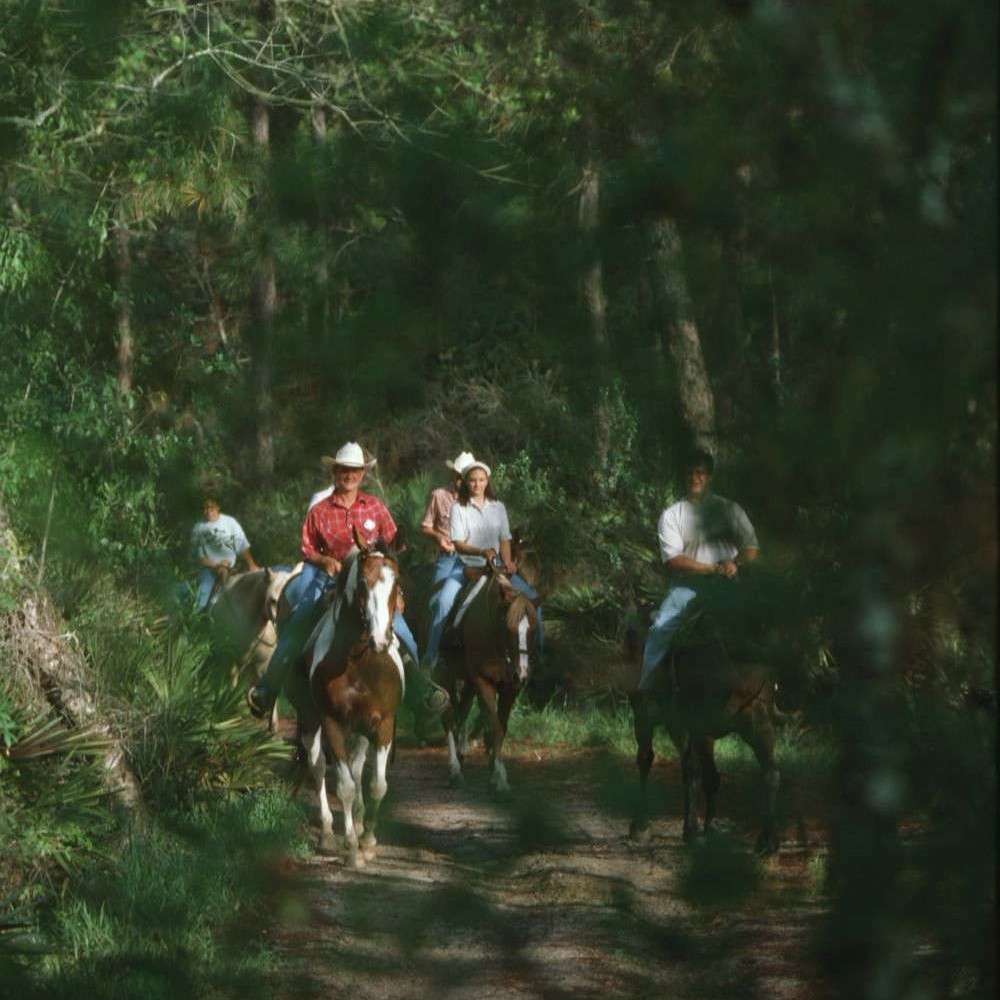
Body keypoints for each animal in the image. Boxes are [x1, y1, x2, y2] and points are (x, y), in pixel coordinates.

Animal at [288, 532, 404, 868]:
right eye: (363, 582)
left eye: (396, 581)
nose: (381, 639)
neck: (360, 664)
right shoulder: (333, 724)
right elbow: (345, 787)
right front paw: (352, 848)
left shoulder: (382, 724)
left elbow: (376, 785)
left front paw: (368, 840)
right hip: (311, 720)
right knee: (317, 767)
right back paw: (328, 834)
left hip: (362, 730)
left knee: (356, 765)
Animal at [442, 564, 540, 788]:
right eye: (509, 628)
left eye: (532, 630)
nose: (522, 673)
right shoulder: (482, 681)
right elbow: (494, 726)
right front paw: (499, 778)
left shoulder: (510, 687)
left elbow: (500, 727)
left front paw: (496, 769)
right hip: (447, 675)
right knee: (449, 717)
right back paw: (455, 769)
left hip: (469, 685)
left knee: (462, 713)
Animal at [624, 612, 780, 856]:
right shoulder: (694, 729)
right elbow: (703, 774)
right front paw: (702, 829)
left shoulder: (676, 724)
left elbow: (684, 769)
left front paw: (689, 829)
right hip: (756, 725)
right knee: (769, 774)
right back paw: (766, 841)